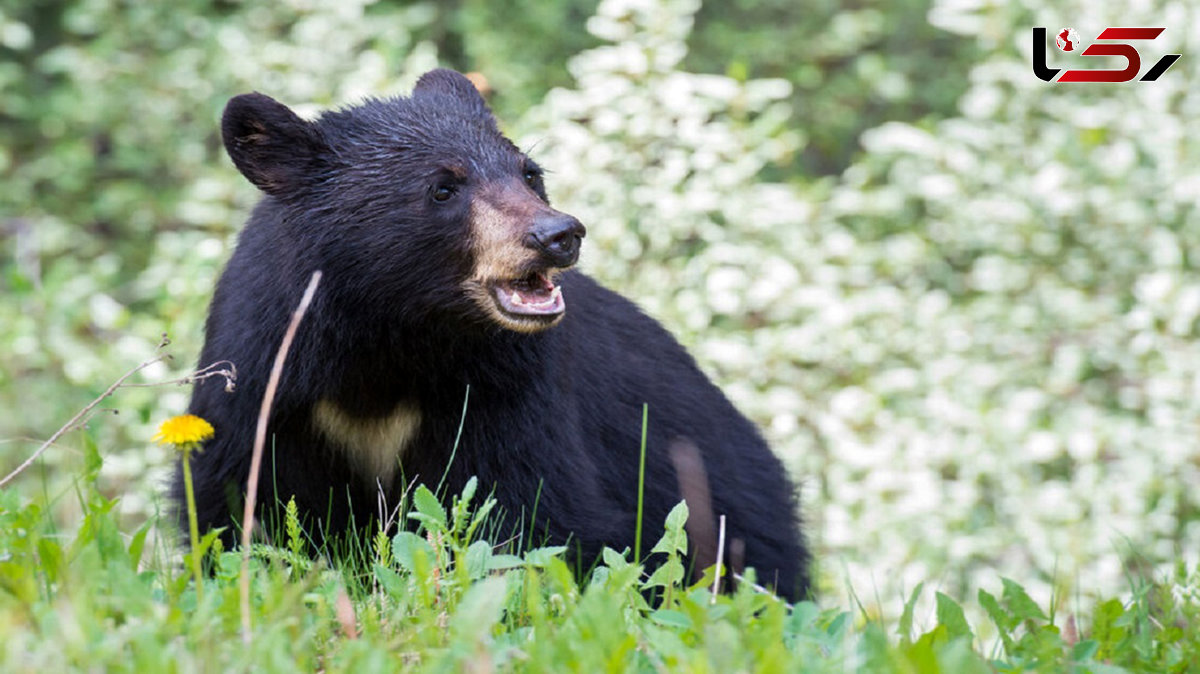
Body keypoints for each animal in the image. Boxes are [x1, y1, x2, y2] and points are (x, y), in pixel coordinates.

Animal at [174, 65, 811, 594]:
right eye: (443, 188)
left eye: (531, 174)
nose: (558, 234)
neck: (389, 335)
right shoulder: (267, 374)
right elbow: (236, 500)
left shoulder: (505, 386)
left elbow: (528, 508)